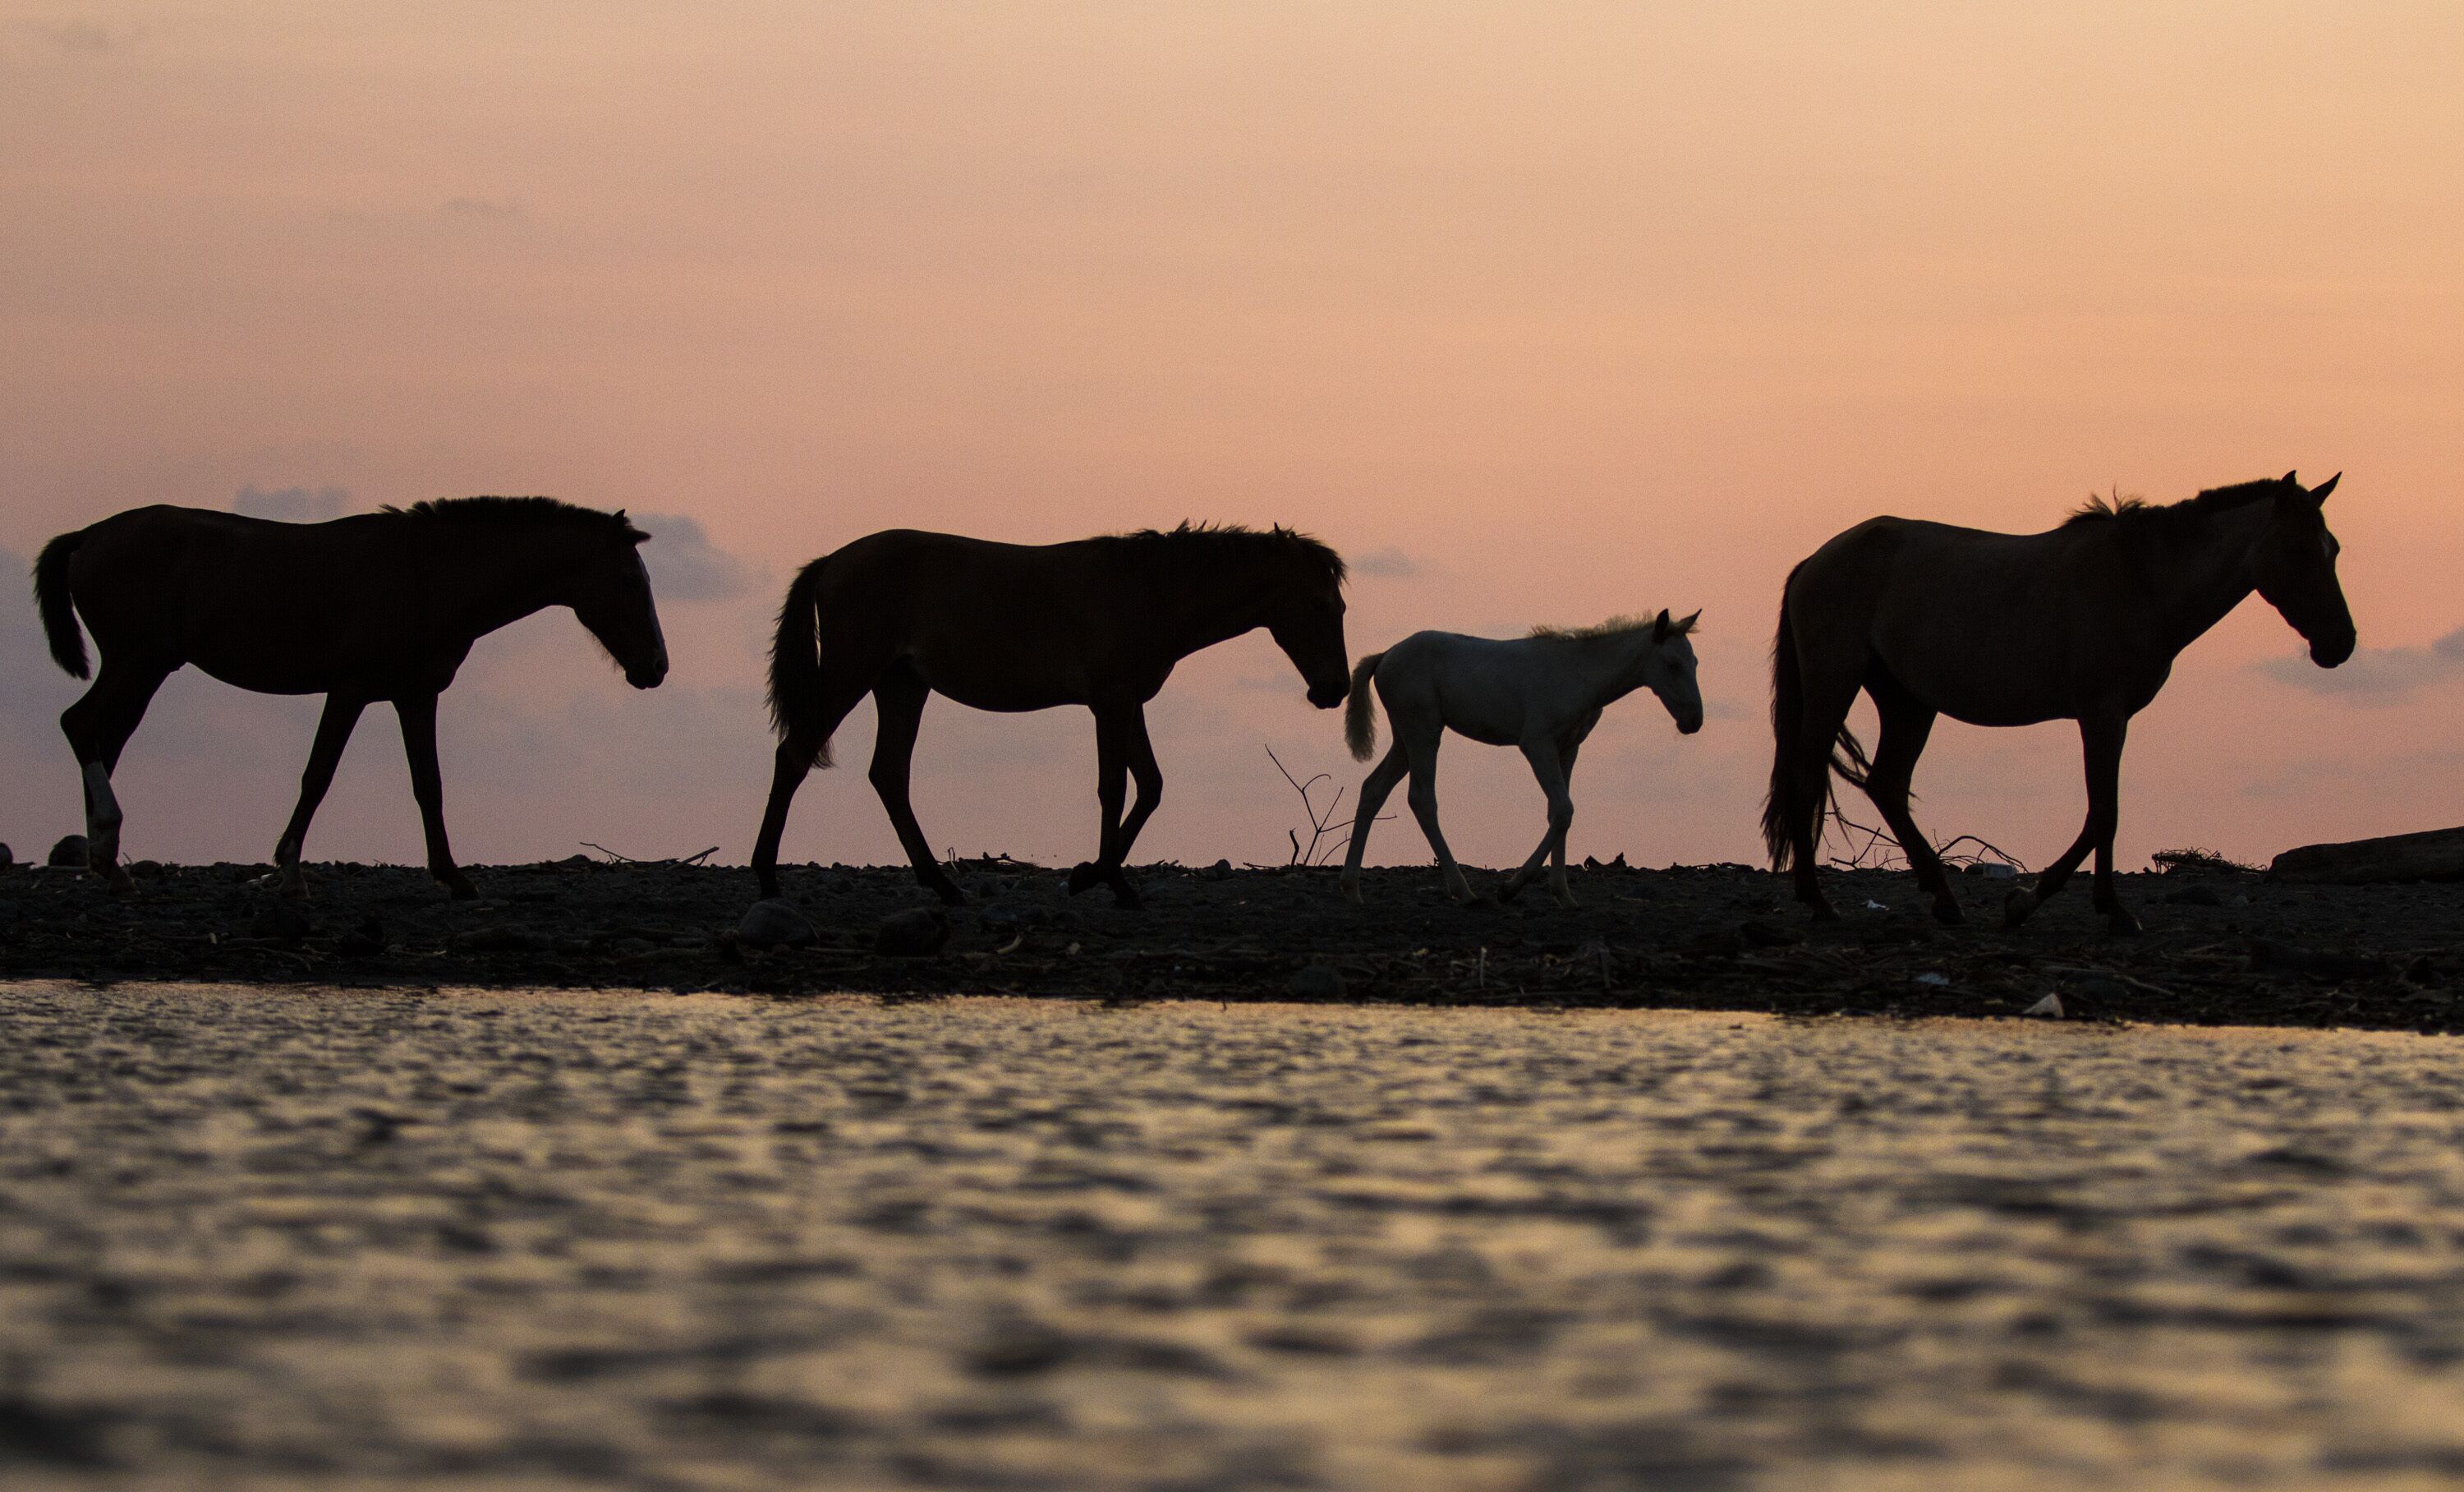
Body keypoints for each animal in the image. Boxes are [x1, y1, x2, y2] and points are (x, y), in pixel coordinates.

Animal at [32, 497, 669, 899]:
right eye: (628, 581)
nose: (657, 669)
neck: (428, 574)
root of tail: (88, 537)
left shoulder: (415, 696)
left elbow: (428, 784)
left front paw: (453, 876)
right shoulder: (350, 690)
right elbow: (318, 776)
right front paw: (290, 871)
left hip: (142, 670)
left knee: (103, 740)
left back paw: (105, 863)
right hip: (137, 664)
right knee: (81, 727)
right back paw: (108, 851)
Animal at [752, 522, 1351, 909]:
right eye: (1321, 604)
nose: (1336, 689)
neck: (1149, 591)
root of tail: (831, 562)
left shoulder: (1129, 702)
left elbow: (1150, 786)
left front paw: (1104, 879)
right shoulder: (1109, 701)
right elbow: (1114, 787)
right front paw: (1096, 879)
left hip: (902, 685)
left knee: (889, 776)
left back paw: (943, 886)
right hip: (852, 674)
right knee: (795, 756)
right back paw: (766, 879)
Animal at [1338, 609, 1703, 907]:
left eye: (1696, 663)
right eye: (1673, 664)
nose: (1694, 721)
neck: (1577, 673)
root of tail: (1385, 656)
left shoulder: (1568, 748)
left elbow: (1559, 813)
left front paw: (1564, 895)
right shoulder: (1537, 744)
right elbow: (1563, 809)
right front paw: (1510, 888)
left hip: (1405, 739)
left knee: (1373, 790)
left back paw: (1352, 890)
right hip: (1423, 732)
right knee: (1422, 799)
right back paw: (1465, 892)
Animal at [1763, 471, 2354, 933]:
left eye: (2334, 550)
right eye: (2299, 550)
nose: (2340, 644)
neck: (2141, 580)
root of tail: (1816, 560)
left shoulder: (2110, 718)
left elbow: (2102, 815)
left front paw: (2063, 905)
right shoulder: (2102, 715)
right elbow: (2104, 813)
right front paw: (2062, 906)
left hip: (1908, 701)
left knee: (1886, 784)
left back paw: (1945, 901)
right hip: (1834, 683)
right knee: (1808, 777)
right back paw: (1819, 903)